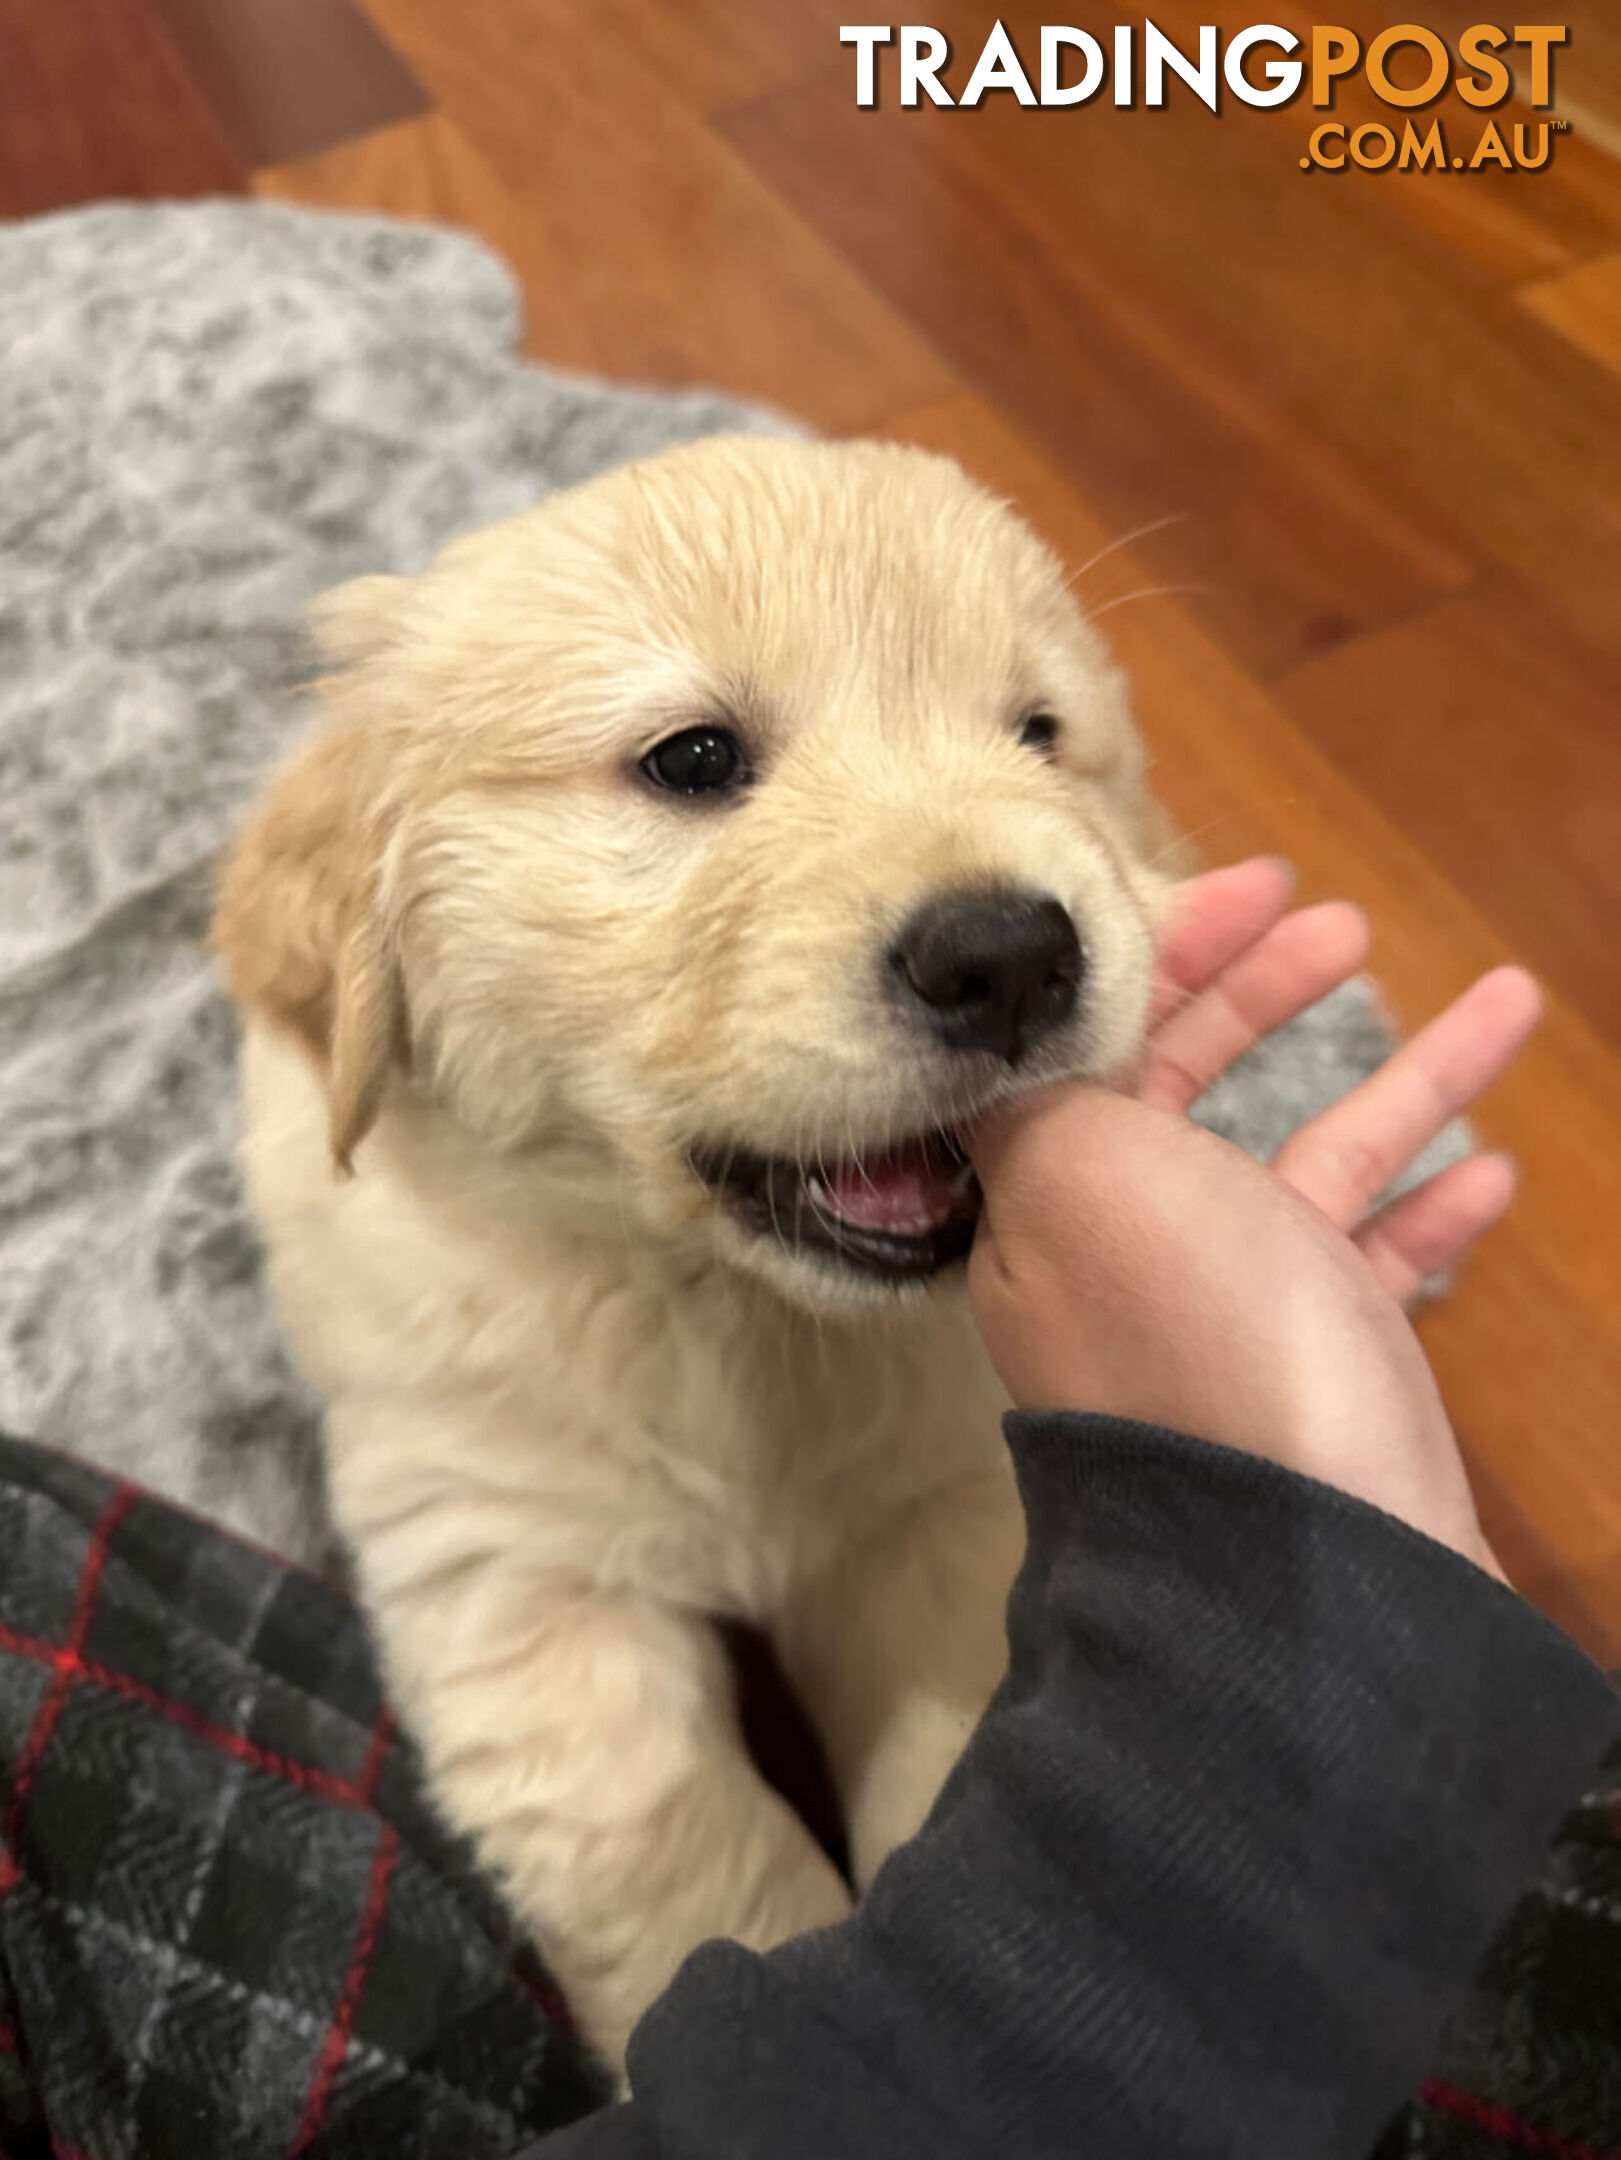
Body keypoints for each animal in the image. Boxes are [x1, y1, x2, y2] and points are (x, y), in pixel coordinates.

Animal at [216, 429, 1175, 2064]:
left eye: (1042, 734)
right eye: (692, 761)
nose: (1007, 957)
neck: (723, 1311)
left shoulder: (938, 1515)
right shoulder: (516, 1576)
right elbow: (694, 1870)